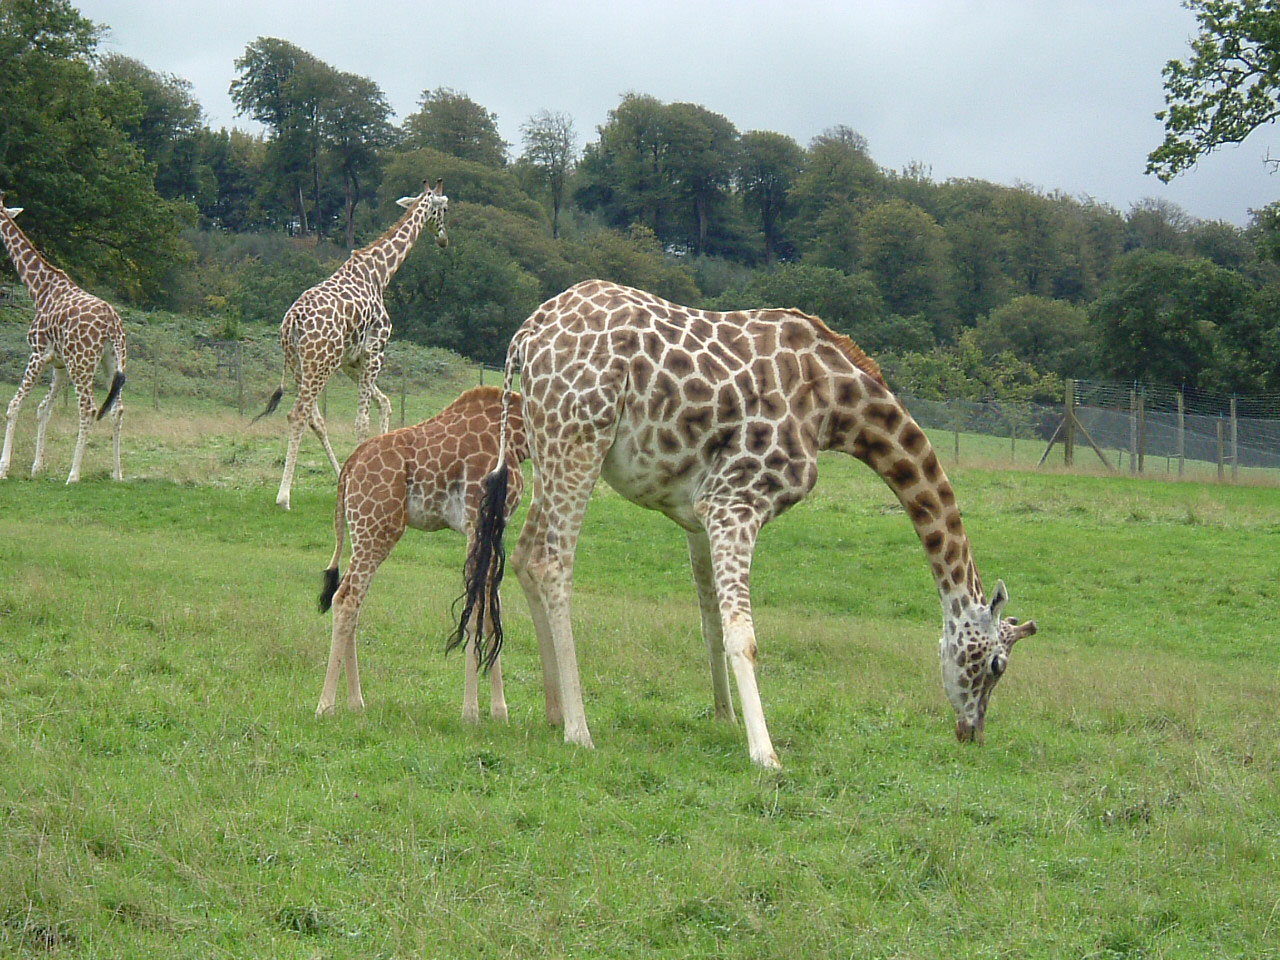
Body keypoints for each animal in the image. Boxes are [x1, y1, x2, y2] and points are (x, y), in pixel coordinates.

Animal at [0, 194, 124, 483]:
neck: (39, 289)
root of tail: (112, 325)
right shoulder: (59, 365)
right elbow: (43, 410)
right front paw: (36, 468)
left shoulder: (38, 354)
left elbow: (14, 406)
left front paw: (4, 468)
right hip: (111, 362)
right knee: (117, 409)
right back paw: (117, 474)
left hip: (83, 364)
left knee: (88, 408)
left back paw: (73, 474)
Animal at [314, 386, 529, 727]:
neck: (521, 436)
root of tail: (347, 469)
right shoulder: (476, 523)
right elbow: (475, 612)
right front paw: (470, 713)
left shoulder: (496, 528)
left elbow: (492, 612)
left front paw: (499, 711)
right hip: (376, 528)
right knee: (347, 599)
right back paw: (326, 705)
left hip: (366, 531)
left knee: (349, 599)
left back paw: (356, 703)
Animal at [465, 280, 1034, 773]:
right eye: (996, 665)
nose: (972, 732)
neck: (835, 405)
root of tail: (527, 335)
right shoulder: (736, 500)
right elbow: (745, 635)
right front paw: (765, 754)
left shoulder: (698, 512)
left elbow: (710, 620)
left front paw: (726, 719)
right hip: (579, 437)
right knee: (550, 562)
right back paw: (579, 730)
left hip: (550, 444)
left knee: (520, 556)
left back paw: (552, 711)